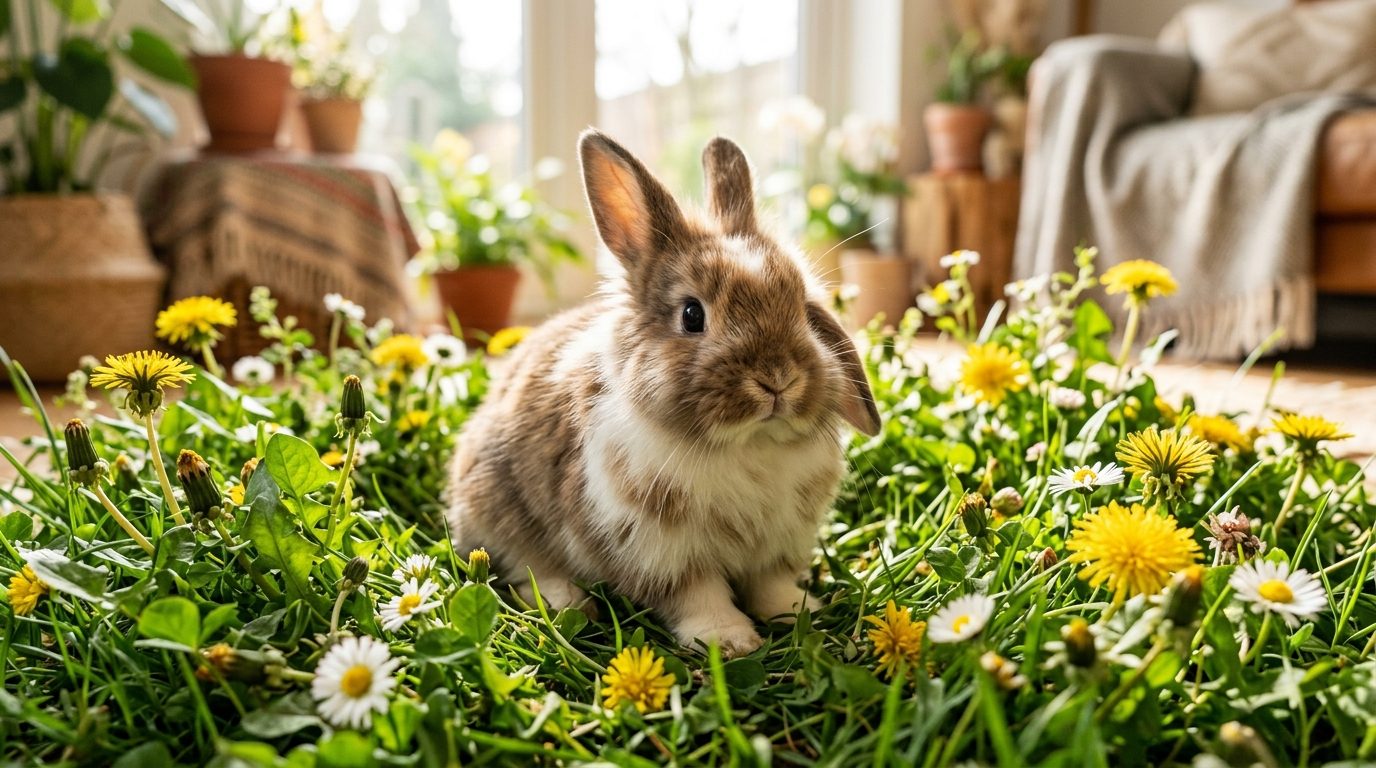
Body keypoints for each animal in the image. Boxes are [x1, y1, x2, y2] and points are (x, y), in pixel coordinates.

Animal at [446, 129, 880, 658]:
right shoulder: (660, 550)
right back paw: (568, 601)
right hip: (498, 510)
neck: (745, 445)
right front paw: (730, 641)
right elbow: (699, 595)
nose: (779, 378)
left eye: (800, 306)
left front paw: (799, 612)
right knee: (522, 566)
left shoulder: (776, 545)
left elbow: (770, 585)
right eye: (692, 315)